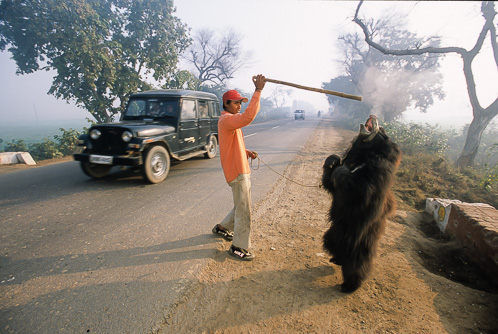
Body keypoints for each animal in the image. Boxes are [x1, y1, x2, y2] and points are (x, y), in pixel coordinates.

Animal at [322, 115, 400, 292]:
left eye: (382, 130)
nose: (373, 116)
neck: (365, 152)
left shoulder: (376, 174)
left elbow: (361, 189)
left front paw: (341, 171)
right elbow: (330, 182)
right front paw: (332, 160)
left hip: (359, 239)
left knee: (357, 263)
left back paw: (349, 286)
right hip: (334, 233)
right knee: (333, 245)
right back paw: (336, 259)